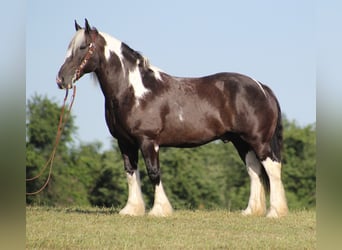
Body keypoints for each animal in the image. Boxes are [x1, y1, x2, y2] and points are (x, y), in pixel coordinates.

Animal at [56, 19, 288, 218]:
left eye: (83, 47)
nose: (61, 79)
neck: (134, 91)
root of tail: (261, 87)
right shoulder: (125, 142)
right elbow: (131, 173)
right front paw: (131, 209)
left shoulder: (148, 141)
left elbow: (153, 172)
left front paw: (159, 210)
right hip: (241, 142)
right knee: (254, 170)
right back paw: (251, 211)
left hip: (258, 141)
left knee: (272, 169)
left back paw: (275, 212)